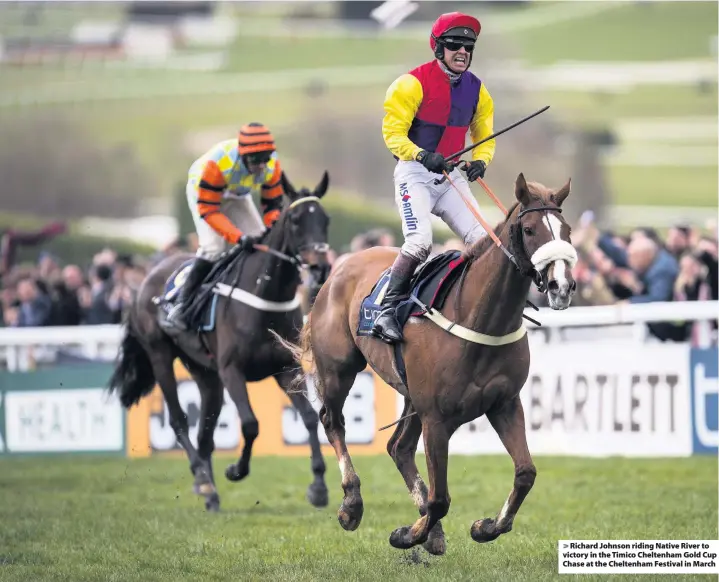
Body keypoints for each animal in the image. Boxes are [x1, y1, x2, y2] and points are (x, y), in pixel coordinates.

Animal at [107, 172, 332, 512]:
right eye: (295, 221)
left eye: (325, 220)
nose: (321, 266)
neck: (265, 297)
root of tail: (144, 281)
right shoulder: (231, 370)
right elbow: (250, 424)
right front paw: (236, 470)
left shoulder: (284, 368)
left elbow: (308, 418)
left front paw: (318, 486)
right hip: (161, 355)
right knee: (179, 420)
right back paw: (202, 479)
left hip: (206, 374)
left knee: (206, 432)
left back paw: (211, 492)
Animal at [282, 173, 580, 556]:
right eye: (529, 230)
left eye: (567, 230)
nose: (562, 285)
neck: (480, 318)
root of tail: (339, 267)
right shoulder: (437, 419)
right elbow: (441, 499)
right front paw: (407, 534)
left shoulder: (504, 404)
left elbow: (525, 473)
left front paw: (485, 527)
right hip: (339, 369)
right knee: (332, 421)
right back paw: (352, 504)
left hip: (411, 395)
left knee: (398, 447)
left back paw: (431, 530)